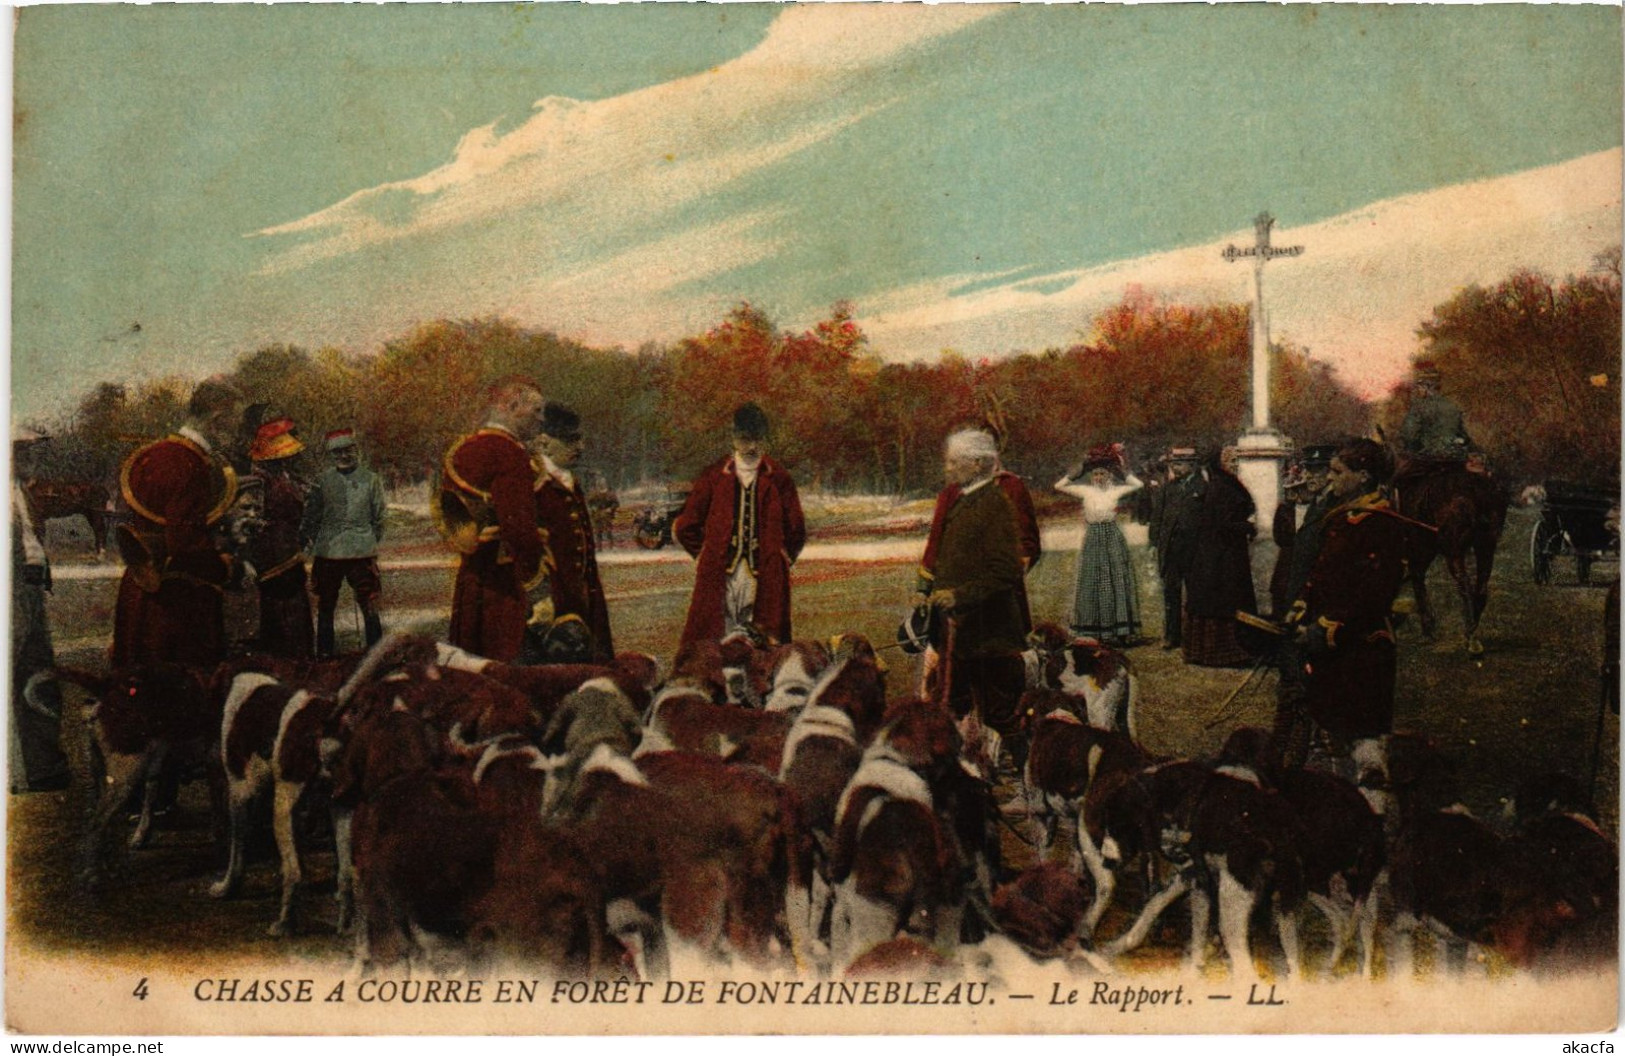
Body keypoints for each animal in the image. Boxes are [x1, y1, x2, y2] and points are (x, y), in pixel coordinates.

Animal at [1397, 458, 1508, 653]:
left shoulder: (1421, 549)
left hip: (1453, 551)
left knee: (1465, 585)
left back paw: (1468, 635)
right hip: (1485, 546)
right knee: (1480, 589)